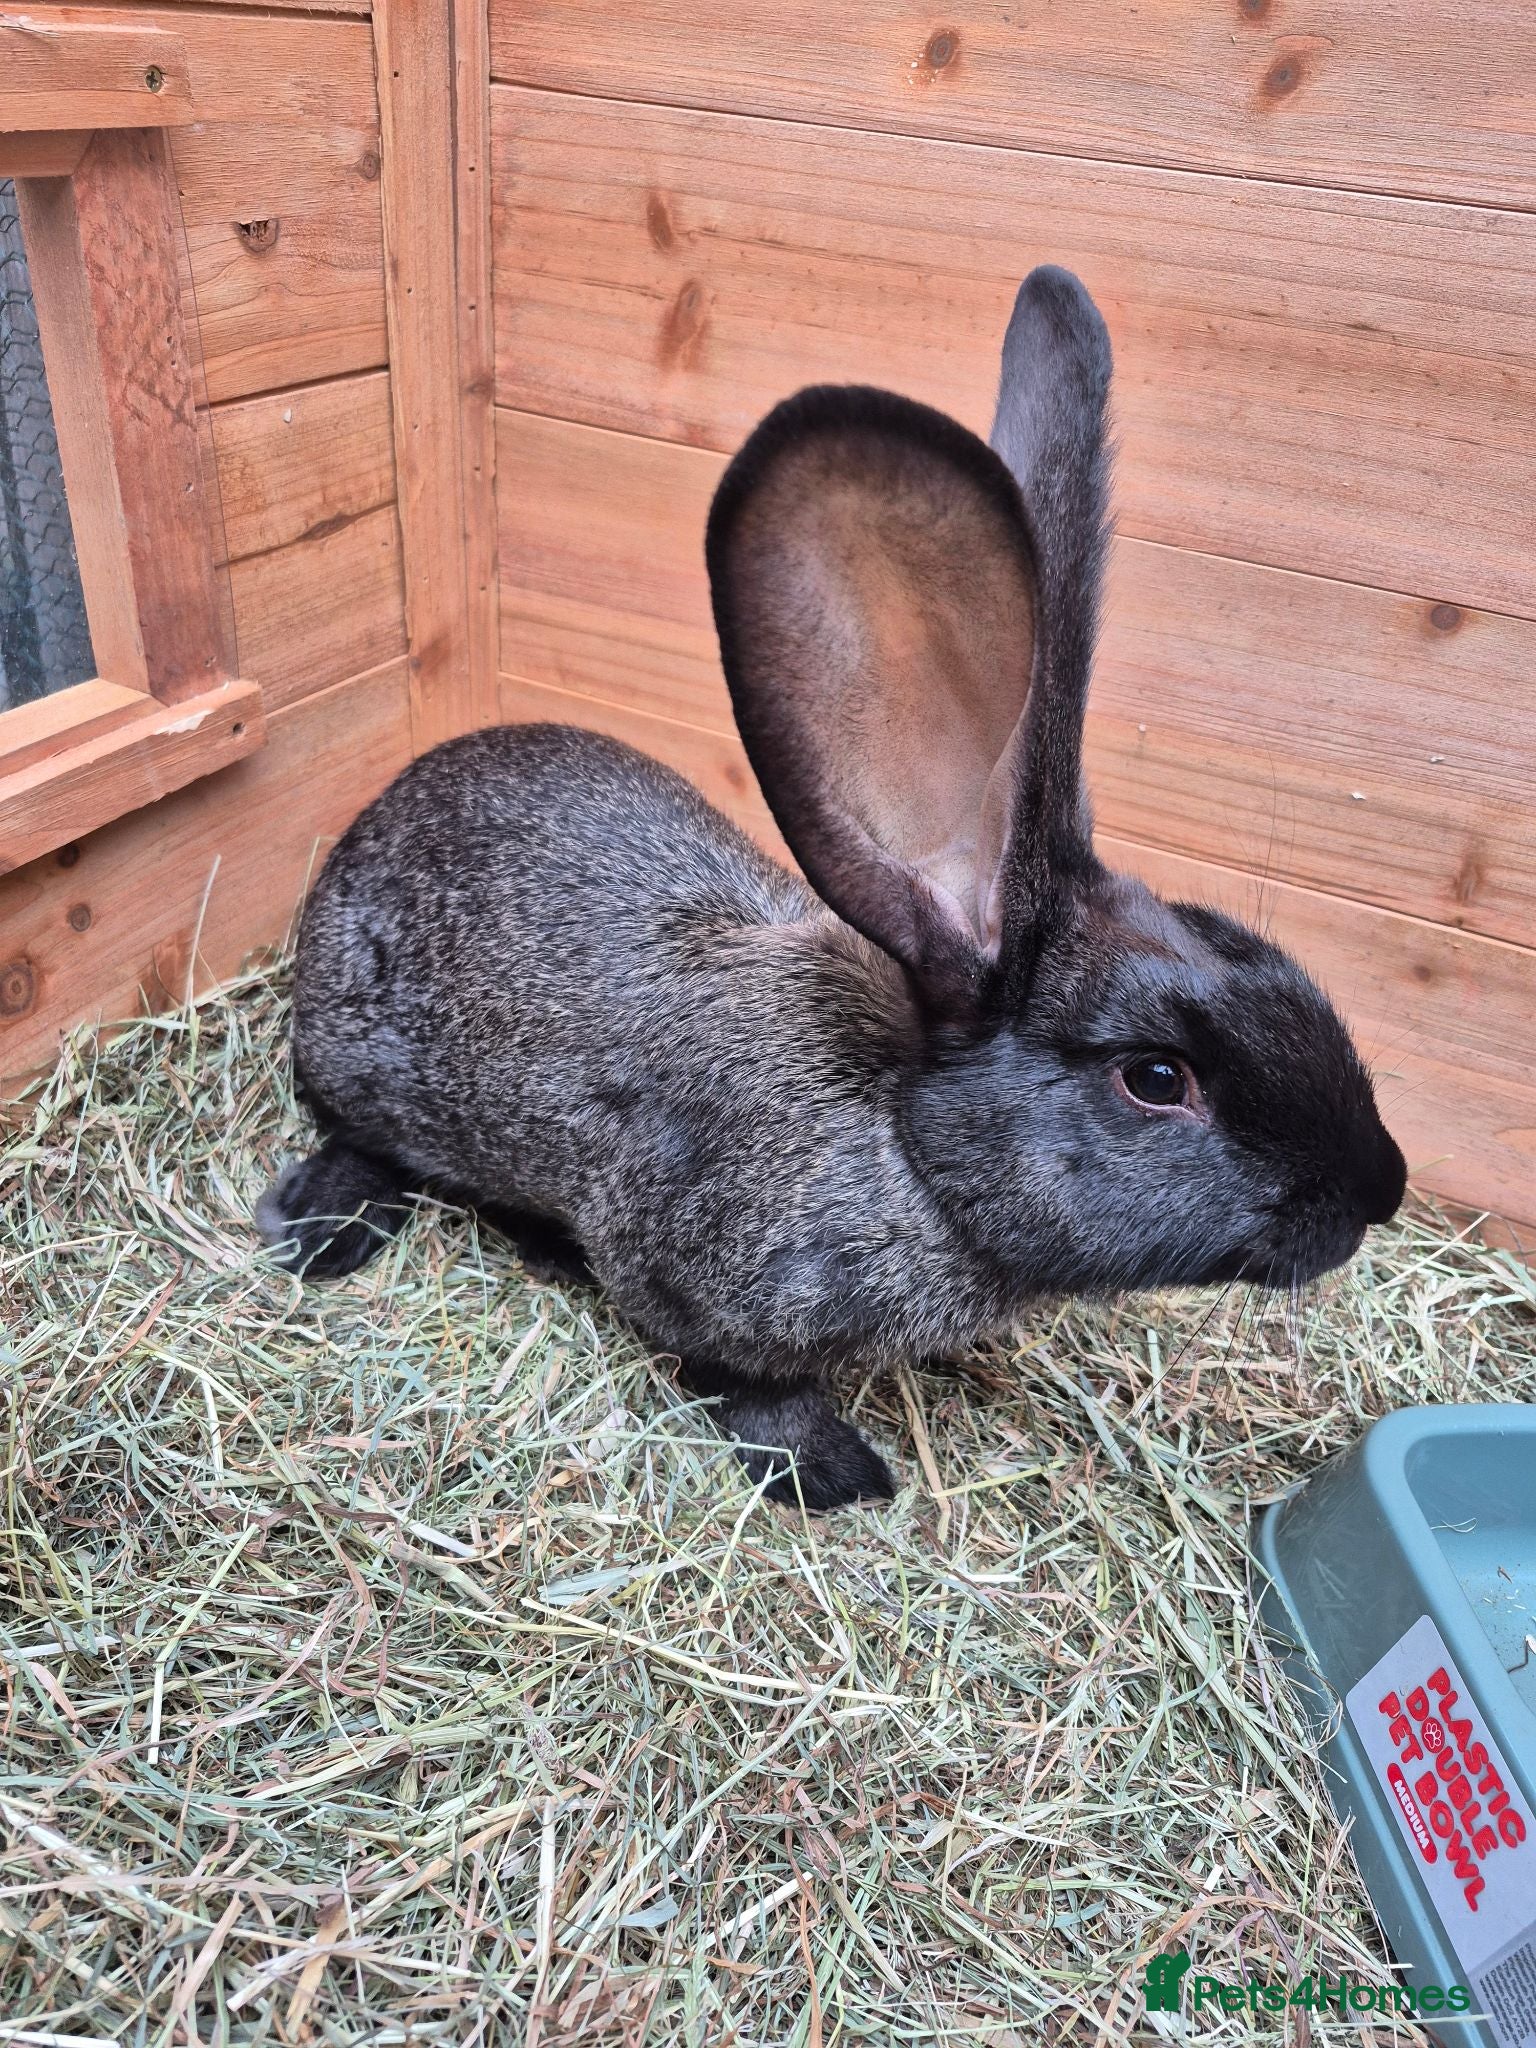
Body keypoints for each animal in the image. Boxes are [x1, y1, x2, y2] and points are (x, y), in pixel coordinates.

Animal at [257, 266, 1406, 1510]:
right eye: (1156, 1078)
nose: (1379, 1190)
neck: (901, 1138)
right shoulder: (689, 1267)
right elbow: (735, 1374)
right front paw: (839, 1471)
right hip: (365, 1058)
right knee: (361, 1134)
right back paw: (314, 1226)